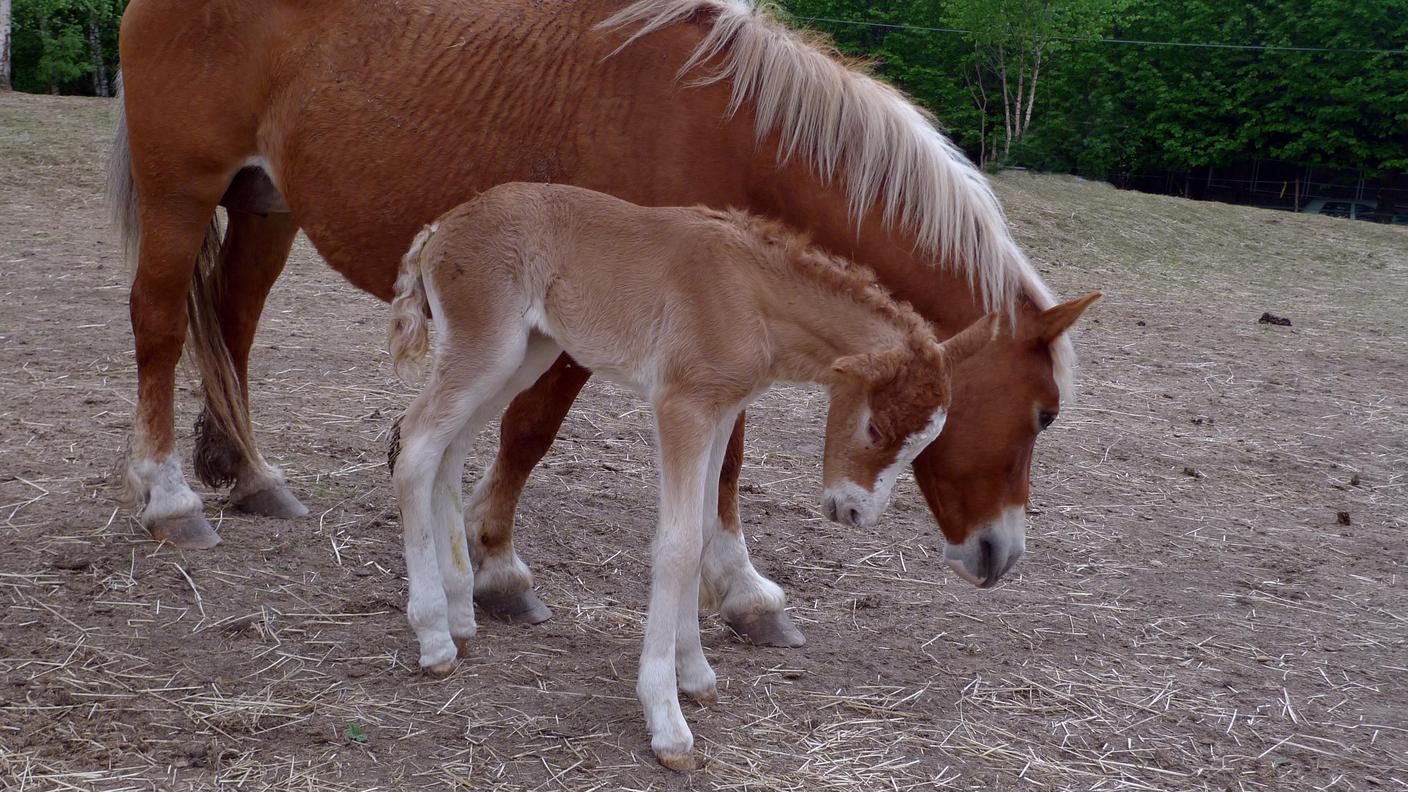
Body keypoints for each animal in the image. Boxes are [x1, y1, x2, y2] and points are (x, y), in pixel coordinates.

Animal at [109, 0, 1098, 642]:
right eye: (1044, 414)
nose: (1001, 554)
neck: (734, 130)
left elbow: (720, 458)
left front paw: (740, 591)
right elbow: (534, 432)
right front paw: (499, 567)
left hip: (265, 207)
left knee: (232, 326)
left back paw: (249, 476)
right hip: (180, 193)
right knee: (159, 325)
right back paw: (170, 497)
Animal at [391, 183, 996, 766]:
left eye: (925, 442)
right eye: (874, 428)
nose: (854, 511)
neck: (751, 295)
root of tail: (442, 226)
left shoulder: (723, 409)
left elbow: (704, 531)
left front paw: (696, 672)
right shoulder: (682, 405)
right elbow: (678, 544)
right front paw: (667, 720)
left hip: (526, 353)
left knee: (449, 451)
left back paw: (460, 614)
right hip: (488, 347)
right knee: (417, 446)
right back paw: (434, 637)